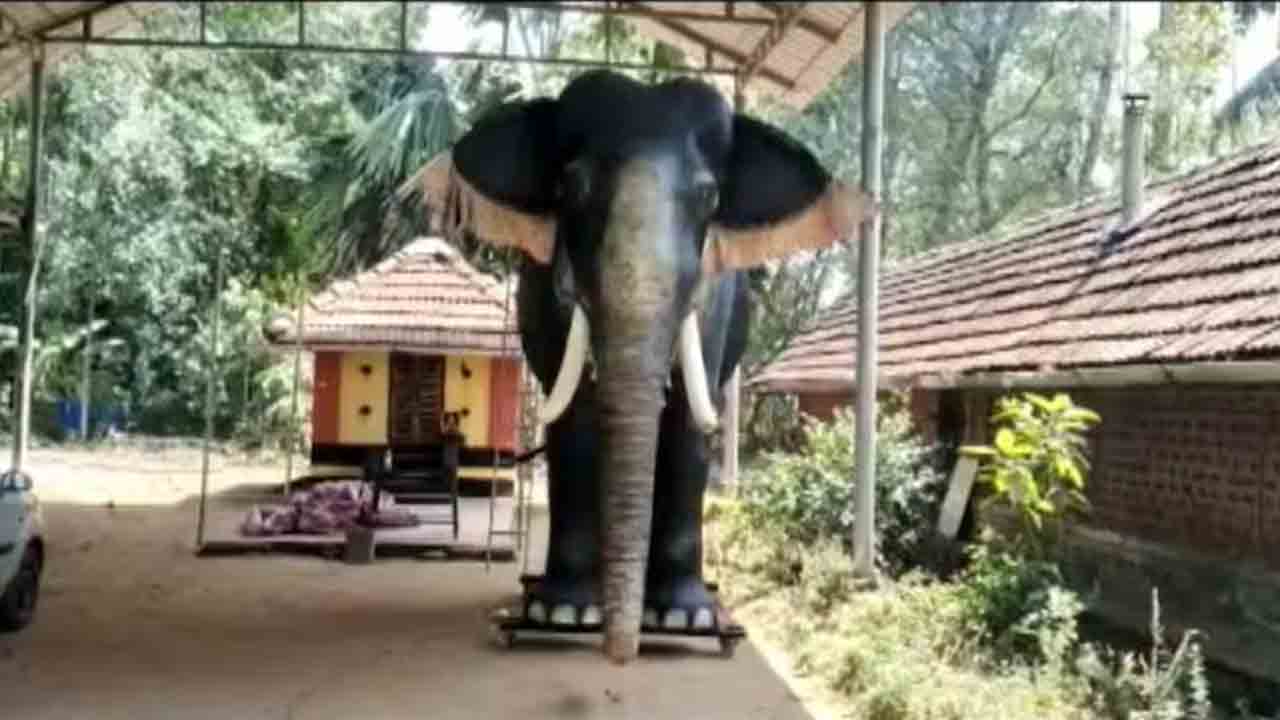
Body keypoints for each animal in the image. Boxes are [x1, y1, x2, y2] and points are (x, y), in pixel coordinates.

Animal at [411, 70, 873, 664]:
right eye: (571, 187)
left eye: (710, 197)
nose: (619, 657)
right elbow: (575, 421)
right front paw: (563, 611)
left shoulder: (712, 306)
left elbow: (687, 427)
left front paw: (684, 617)